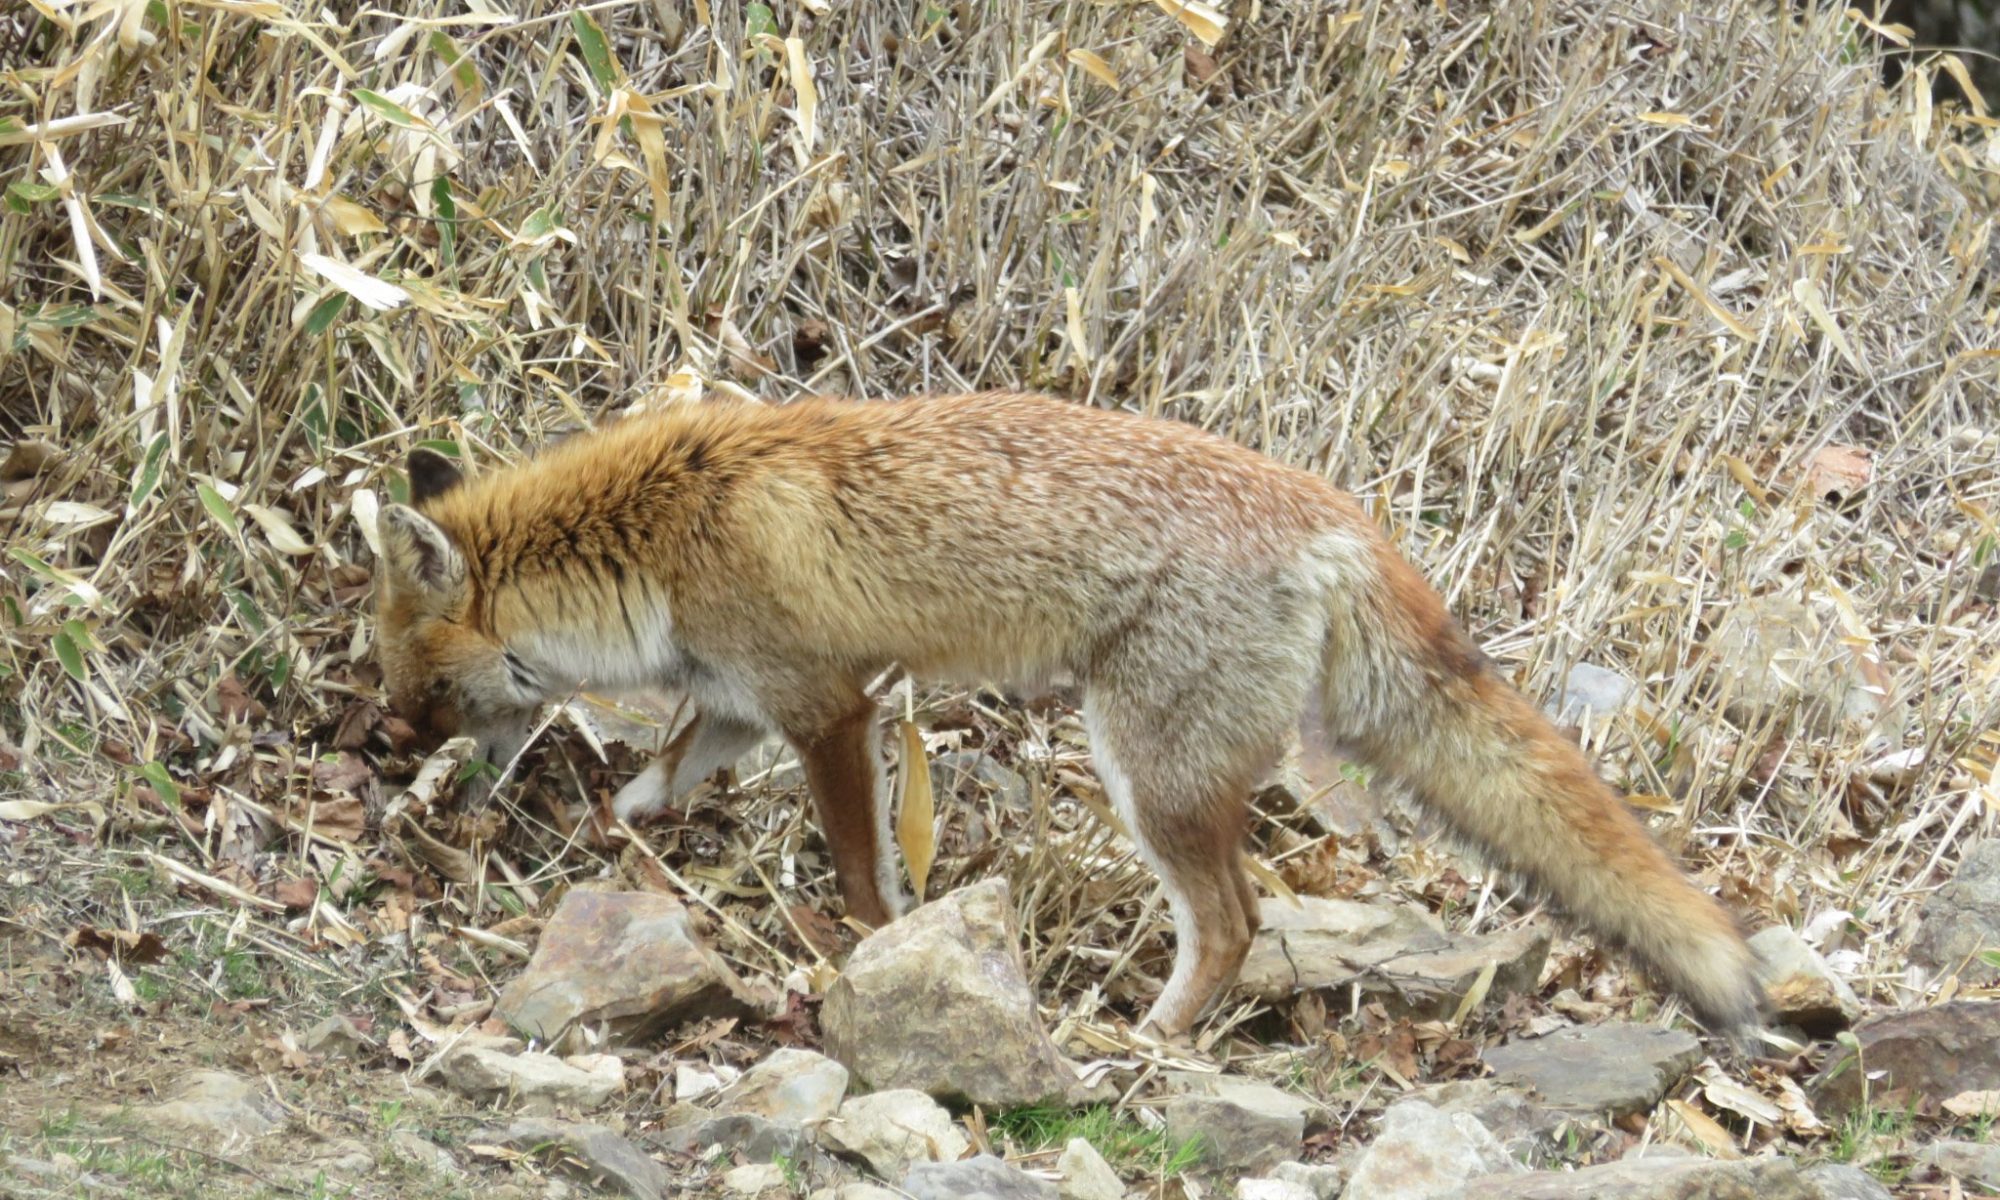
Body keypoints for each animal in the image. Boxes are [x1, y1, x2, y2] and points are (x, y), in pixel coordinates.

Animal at [376, 390, 1768, 1032]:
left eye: (423, 684)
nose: (382, 746)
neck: (663, 530)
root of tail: (1335, 513)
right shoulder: (746, 695)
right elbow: (655, 778)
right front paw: (613, 830)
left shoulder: (828, 707)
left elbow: (863, 872)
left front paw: (871, 954)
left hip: (1147, 773)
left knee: (1233, 921)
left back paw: (1148, 1043)